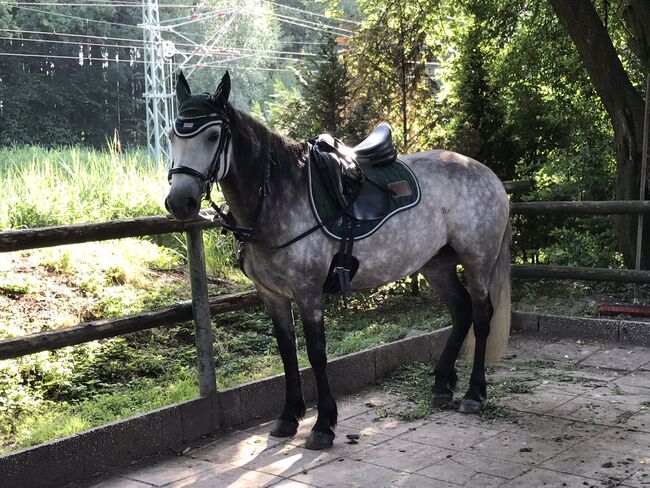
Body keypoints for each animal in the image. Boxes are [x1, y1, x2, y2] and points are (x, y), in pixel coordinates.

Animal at [165, 72, 508, 450]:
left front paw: (323, 425)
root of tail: (486, 173)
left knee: (481, 315)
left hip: (478, 260)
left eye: (213, 135)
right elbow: (287, 351)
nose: (179, 202)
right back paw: (442, 385)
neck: (278, 200)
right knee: (461, 311)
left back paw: (474, 394)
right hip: (437, 264)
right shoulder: (272, 295)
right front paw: (288, 418)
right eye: (171, 135)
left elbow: (316, 352)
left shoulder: (308, 291)